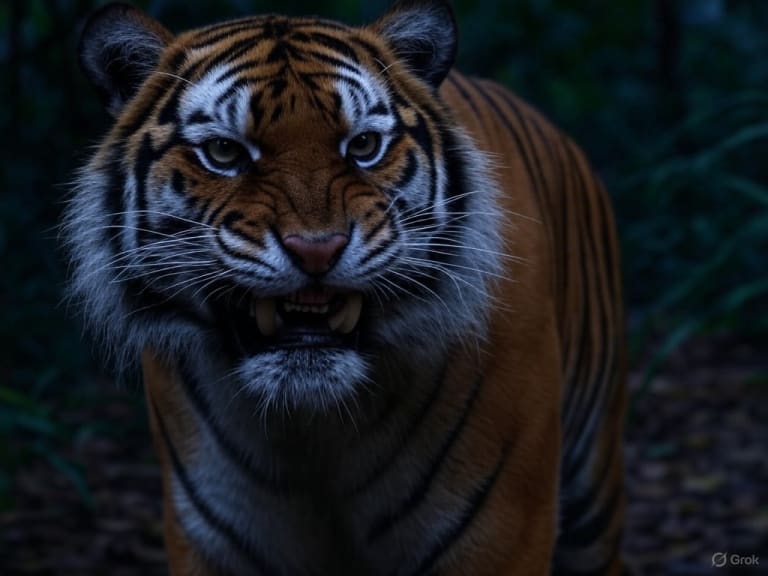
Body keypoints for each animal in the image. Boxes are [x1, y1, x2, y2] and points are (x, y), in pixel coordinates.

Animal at [64, 0, 626, 574]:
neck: (312, 428)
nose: (317, 249)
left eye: (363, 146)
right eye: (223, 152)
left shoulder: (500, 532)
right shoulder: (209, 540)